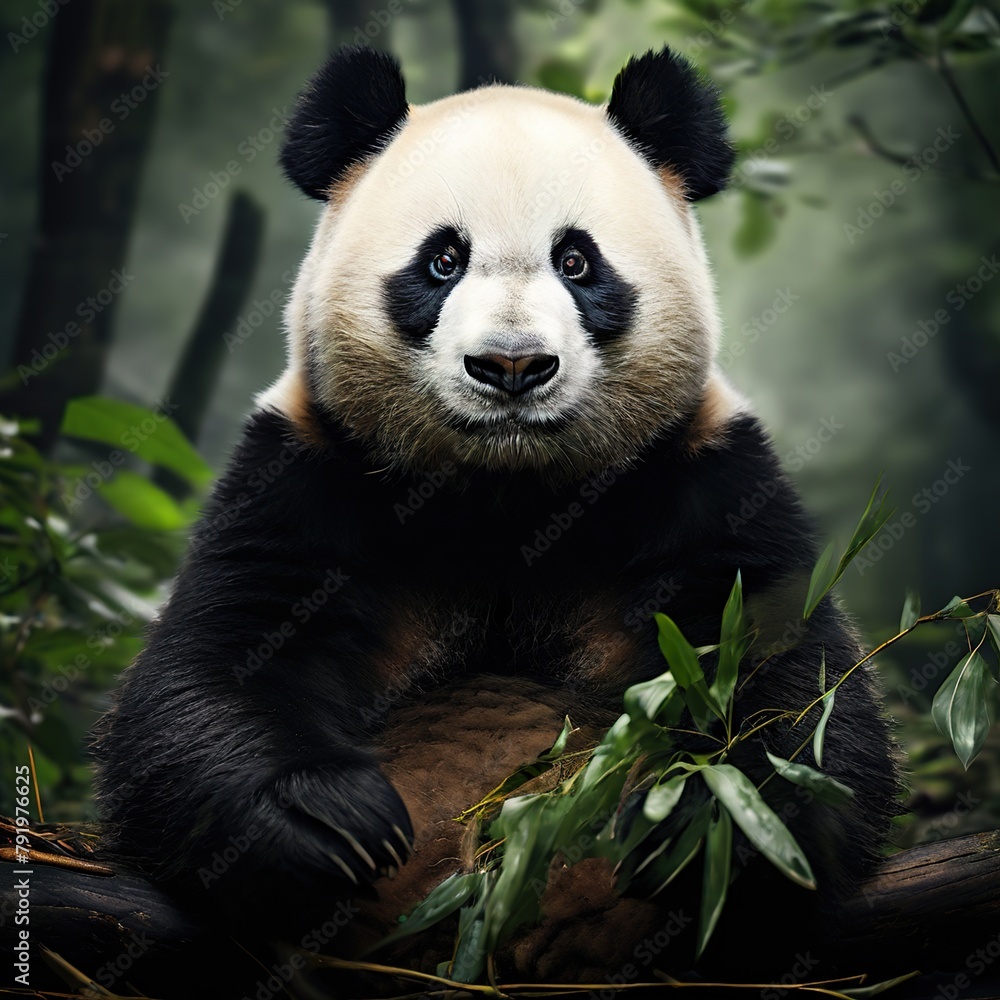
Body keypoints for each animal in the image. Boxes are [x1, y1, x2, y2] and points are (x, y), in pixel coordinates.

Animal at [93, 44, 898, 988]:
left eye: (578, 263)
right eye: (443, 260)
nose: (512, 365)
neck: (507, 493)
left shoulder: (700, 477)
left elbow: (785, 683)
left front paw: (698, 820)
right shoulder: (309, 474)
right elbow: (213, 669)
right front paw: (326, 823)